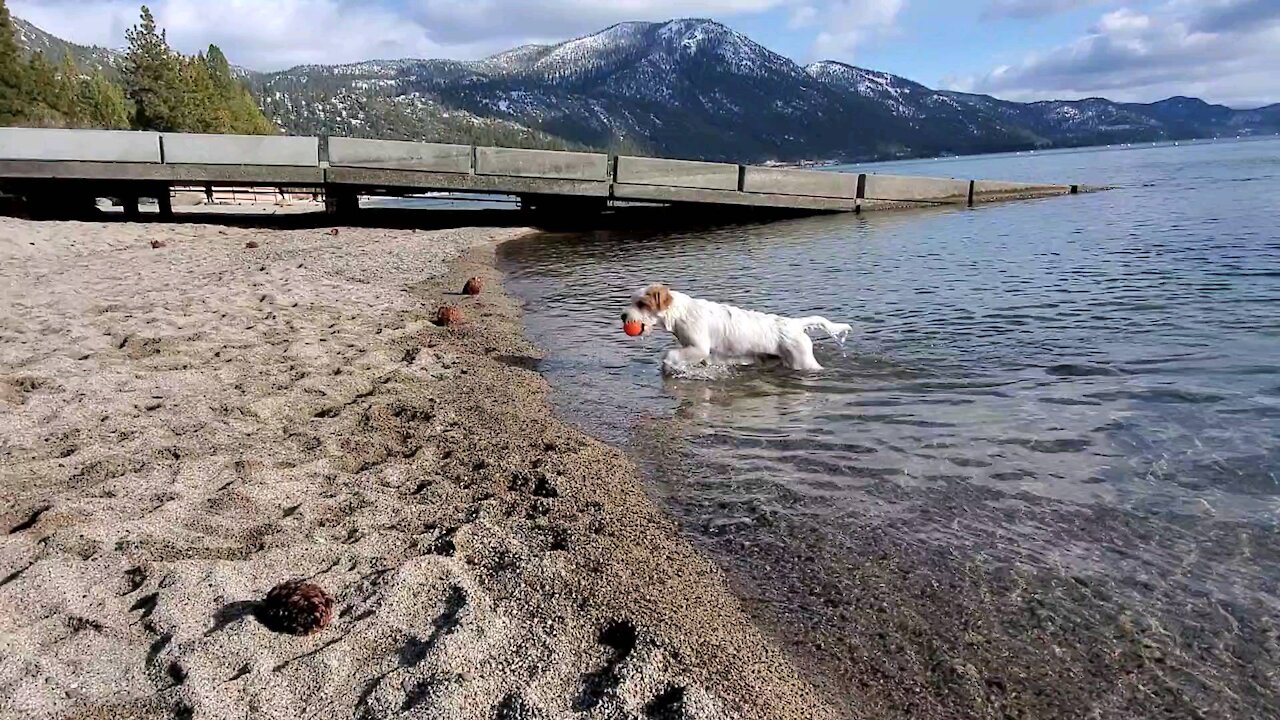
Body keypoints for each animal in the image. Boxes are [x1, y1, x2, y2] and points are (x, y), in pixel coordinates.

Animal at [619, 281, 849, 368]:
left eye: (641, 304)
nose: (623, 316)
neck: (680, 312)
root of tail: (795, 324)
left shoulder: (698, 347)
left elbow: (670, 354)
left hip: (803, 362)